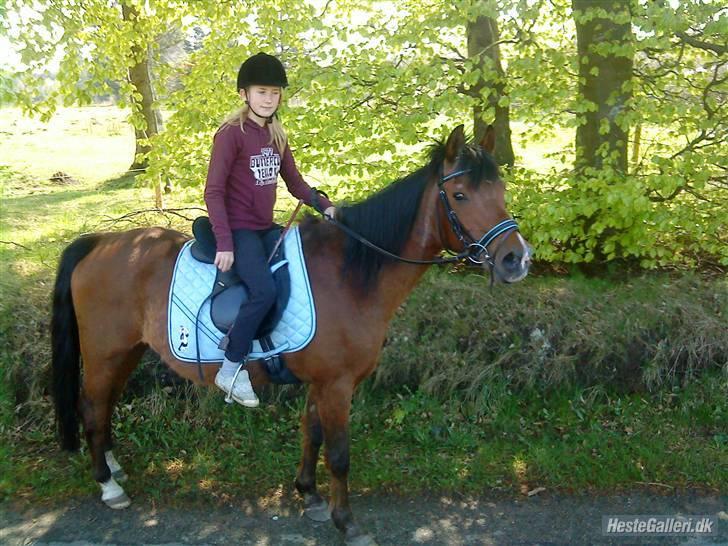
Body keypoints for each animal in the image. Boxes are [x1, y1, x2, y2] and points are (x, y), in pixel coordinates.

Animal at [51, 124, 528, 544]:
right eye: (460, 195)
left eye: (501, 193)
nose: (516, 259)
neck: (351, 274)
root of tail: (100, 242)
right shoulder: (337, 384)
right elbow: (339, 454)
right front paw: (345, 521)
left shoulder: (323, 382)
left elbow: (310, 433)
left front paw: (310, 496)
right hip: (105, 353)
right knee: (92, 407)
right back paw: (108, 485)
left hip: (126, 352)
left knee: (105, 407)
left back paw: (114, 467)